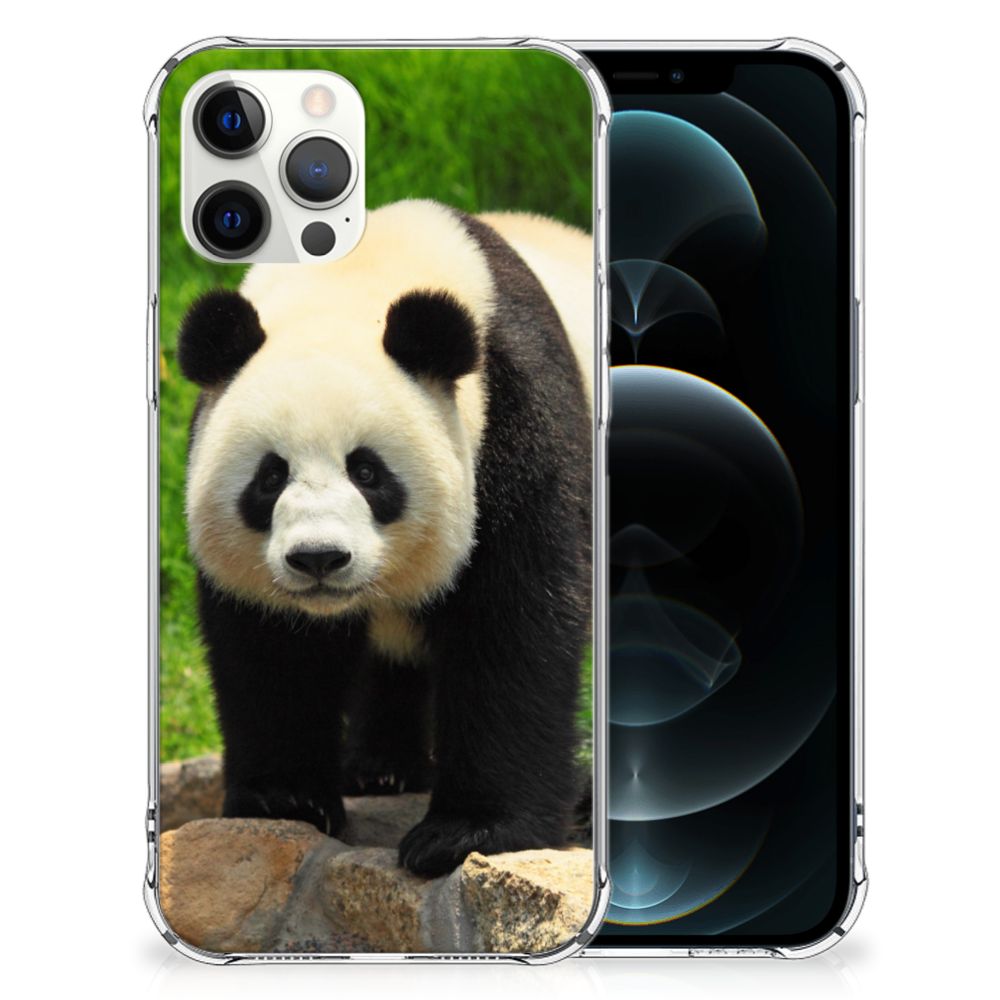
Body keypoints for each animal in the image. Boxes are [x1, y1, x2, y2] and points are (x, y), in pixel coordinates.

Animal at [177, 199, 594, 877]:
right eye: (270, 476)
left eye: (368, 472)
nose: (319, 558)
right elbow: (273, 648)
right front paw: (284, 799)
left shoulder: (517, 419)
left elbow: (514, 623)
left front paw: (467, 832)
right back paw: (380, 769)